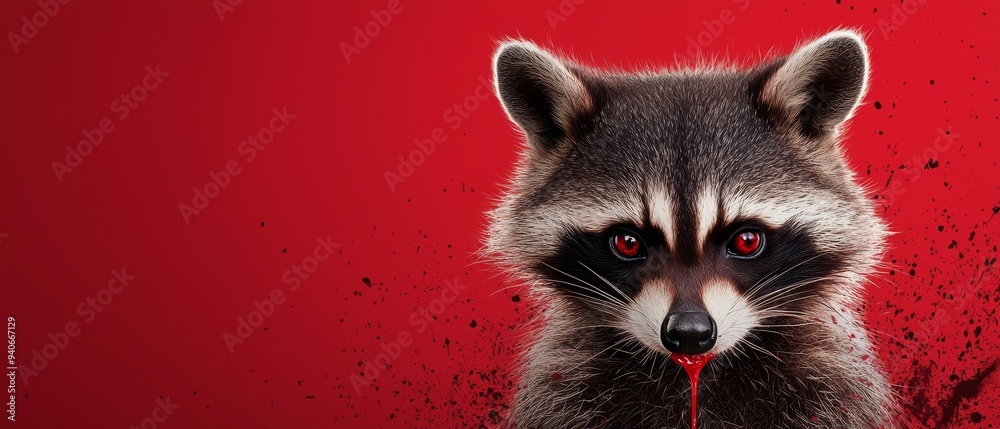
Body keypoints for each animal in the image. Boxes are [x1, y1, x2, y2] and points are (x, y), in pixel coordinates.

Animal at [485, 31, 897, 428]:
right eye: (628, 242)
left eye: (746, 240)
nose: (689, 333)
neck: (695, 378)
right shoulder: (564, 385)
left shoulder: (831, 383)